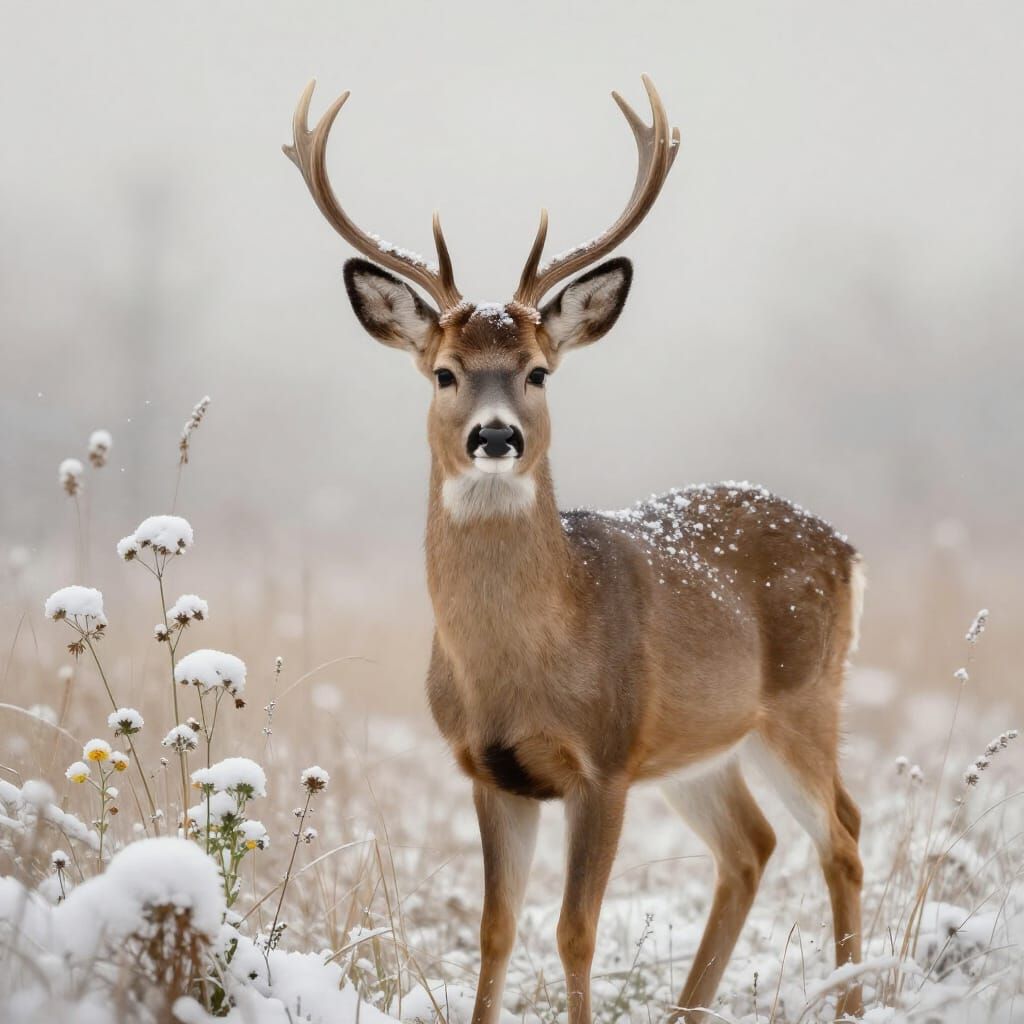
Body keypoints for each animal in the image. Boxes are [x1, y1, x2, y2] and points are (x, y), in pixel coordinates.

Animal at [284, 76, 866, 1024]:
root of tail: (845, 545)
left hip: (803, 698)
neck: (523, 664)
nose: (495, 435)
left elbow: (574, 931)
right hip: (704, 742)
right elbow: (497, 930)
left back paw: (855, 999)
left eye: (539, 370)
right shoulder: (488, 769)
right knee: (750, 846)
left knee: (842, 834)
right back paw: (690, 1009)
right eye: (444, 371)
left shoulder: (605, 760)